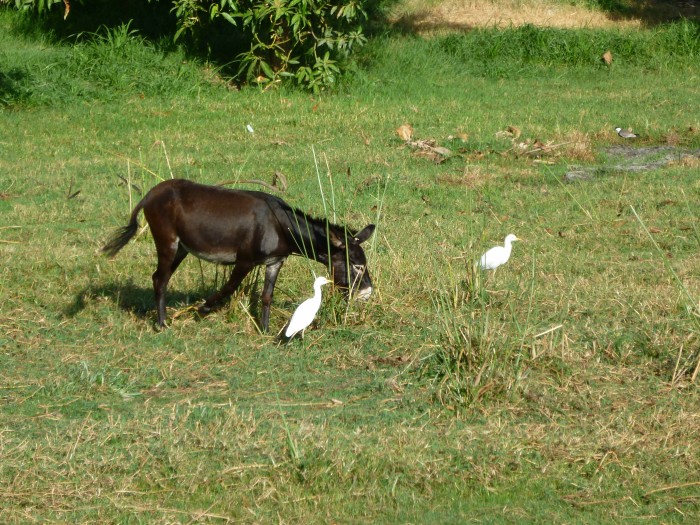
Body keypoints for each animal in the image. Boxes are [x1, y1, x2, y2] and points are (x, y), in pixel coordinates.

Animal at [102, 179, 375, 331]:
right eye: (356, 265)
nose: (367, 294)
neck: (279, 225)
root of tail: (150, 194)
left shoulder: (275, 262)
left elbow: (266, 296)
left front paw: (264, 329)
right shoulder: (244, 261)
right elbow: (230, 287)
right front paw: (203, 309)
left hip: (181, 248)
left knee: (160, 277)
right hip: (167, 242)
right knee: (160, 278)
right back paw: (161, 324)